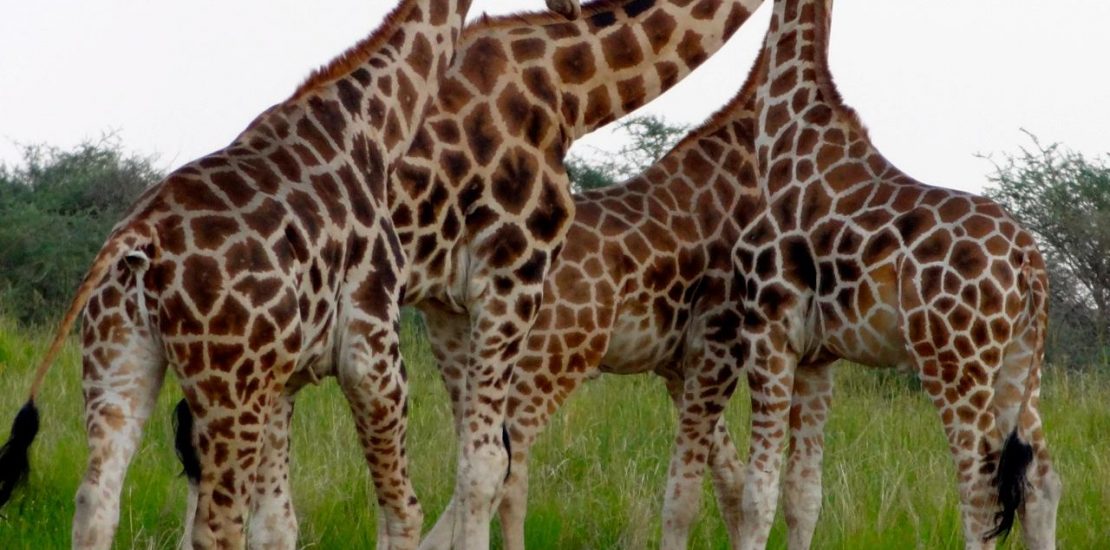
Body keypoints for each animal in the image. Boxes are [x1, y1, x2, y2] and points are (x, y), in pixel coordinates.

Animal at [0, 1, 581, 550]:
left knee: (95, 501)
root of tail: (138, 239)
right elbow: (403, 509)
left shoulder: (284, 374)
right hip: (228, 385)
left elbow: (280, 523)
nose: (571, 8)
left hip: (117, 357)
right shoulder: (372, 340)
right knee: (216, 524)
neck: (376, 124)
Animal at [732, 1, 1061, 550]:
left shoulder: (768, 334)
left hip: (954, 363)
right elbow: (804, 495)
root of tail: (1027, 262)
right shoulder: (819, 357)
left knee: (980, 488)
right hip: (1020, 363)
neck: (782, 143)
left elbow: (758, 494)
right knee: (1042, 482)